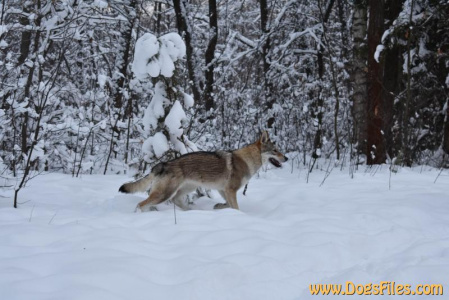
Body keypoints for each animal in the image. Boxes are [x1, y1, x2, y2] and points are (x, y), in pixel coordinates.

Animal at [119, 131, 288, 211]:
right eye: (275, 151)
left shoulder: (223, 190)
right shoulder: (230, 190)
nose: (286, 158)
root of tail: (163, 164)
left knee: (176, 201)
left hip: (186, 188)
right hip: (164, 194)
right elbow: (235, 207)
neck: (248, 160)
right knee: (141, 204)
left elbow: (227, 204)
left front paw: (218, 207)